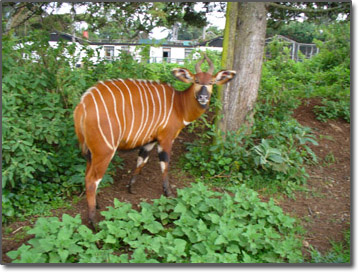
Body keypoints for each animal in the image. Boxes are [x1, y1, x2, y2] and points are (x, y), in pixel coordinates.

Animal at [73, 54, 235, 224]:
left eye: (211, 82)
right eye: (196, 80)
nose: (203, 97)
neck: (179, 105)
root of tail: (81, 107)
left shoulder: (149, 141)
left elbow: (141, 161)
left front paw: (131, 188)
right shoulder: (166, 138)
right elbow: (165, 164)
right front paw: (168, 193)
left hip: (91, 152)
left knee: (86, 175)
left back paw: (96, 205)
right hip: (104, 151)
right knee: (92, 181)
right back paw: (93, 221)